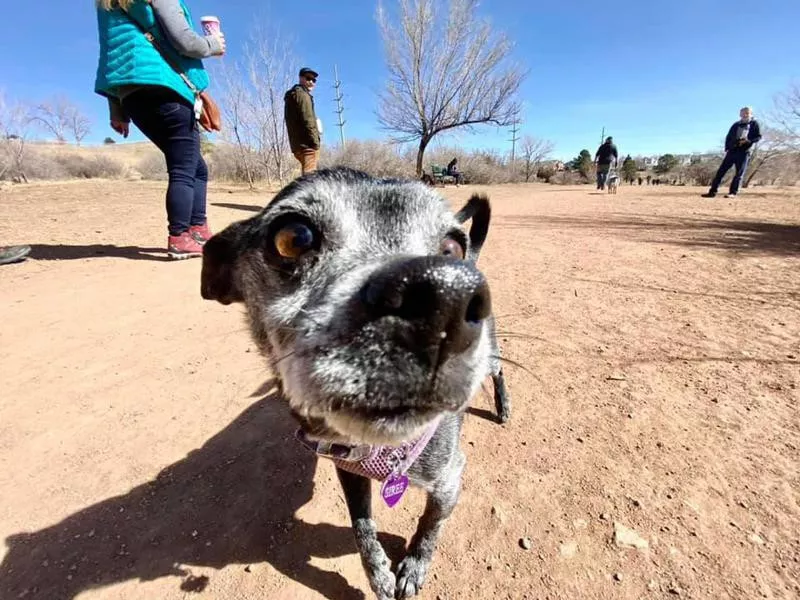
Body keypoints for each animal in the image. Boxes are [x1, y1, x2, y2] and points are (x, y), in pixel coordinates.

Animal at [202, 166, 512, 596]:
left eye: (452, 247)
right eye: (293, 238)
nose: (444, 295)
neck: (385, 451)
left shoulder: (449, 481)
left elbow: (431, 525)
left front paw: (414, 565)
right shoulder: (348, 470)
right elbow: (361, 526)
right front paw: (377, 572)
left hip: (493, 356)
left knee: (499, 374)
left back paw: (503, 406)